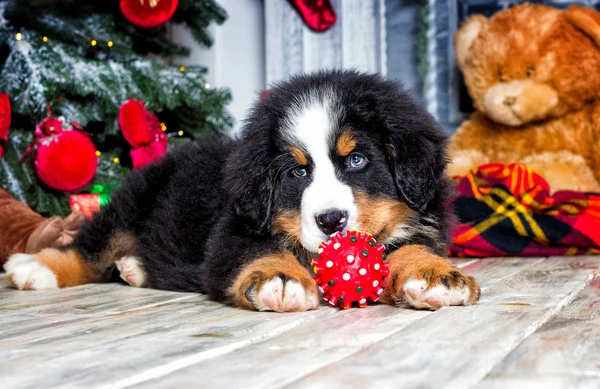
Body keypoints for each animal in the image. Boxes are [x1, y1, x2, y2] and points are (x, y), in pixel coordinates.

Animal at [3, 69, 478, 310]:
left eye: (357, 161)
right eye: (297, 173)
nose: (331, 221)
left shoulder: (418, 223)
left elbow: (411, 246)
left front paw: (434, 274)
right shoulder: (233, 232)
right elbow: (257, 251)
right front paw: (280, 277)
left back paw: (135, 268)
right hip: (132, 200)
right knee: (90, 245)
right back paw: (34, 268)